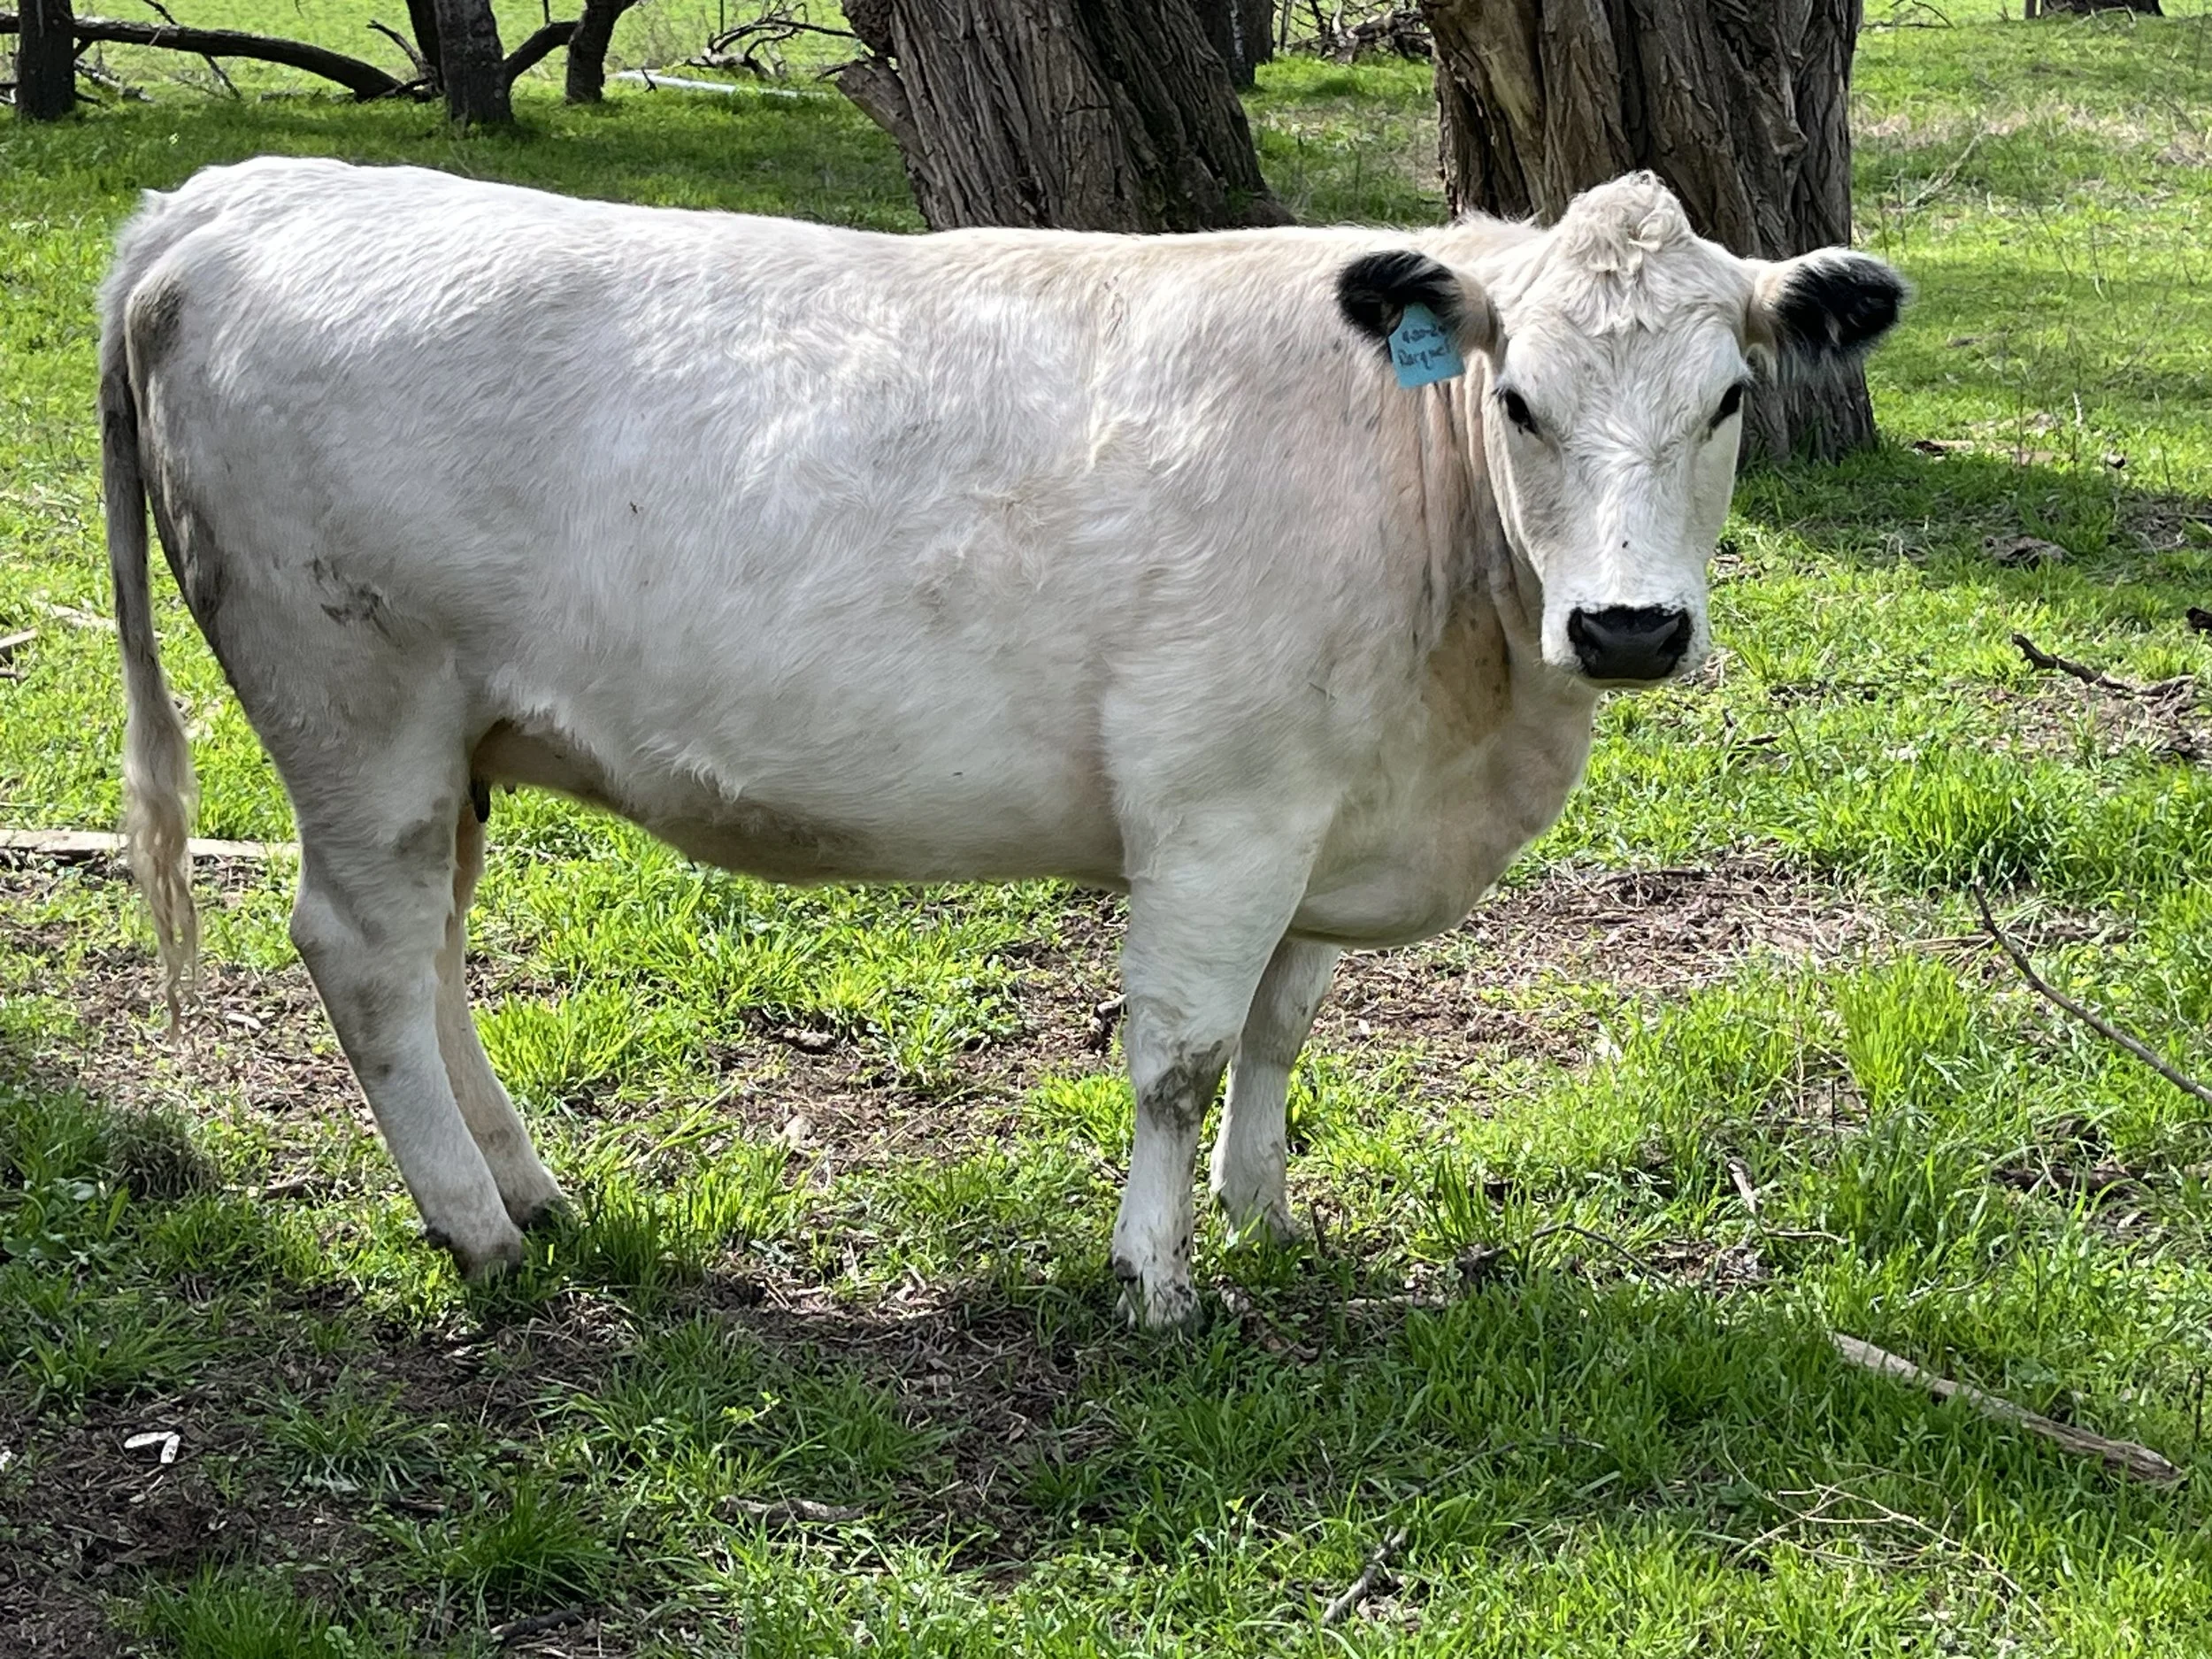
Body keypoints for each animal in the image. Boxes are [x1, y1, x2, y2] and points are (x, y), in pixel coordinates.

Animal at [101, 159, 1901, 1326]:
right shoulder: (1221, 812)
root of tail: (228, 196)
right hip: (356, 710)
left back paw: (531, 1189)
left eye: (1732, 397)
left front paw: (1265, 1217)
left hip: (451, 742)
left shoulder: (1329, 810)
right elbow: (1179, 1053)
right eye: (1519, 397)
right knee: (362, 948)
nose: (1629, 628)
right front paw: (1157, 1281)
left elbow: (1281, 1030)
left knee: (432, 951)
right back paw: (477, 1233)